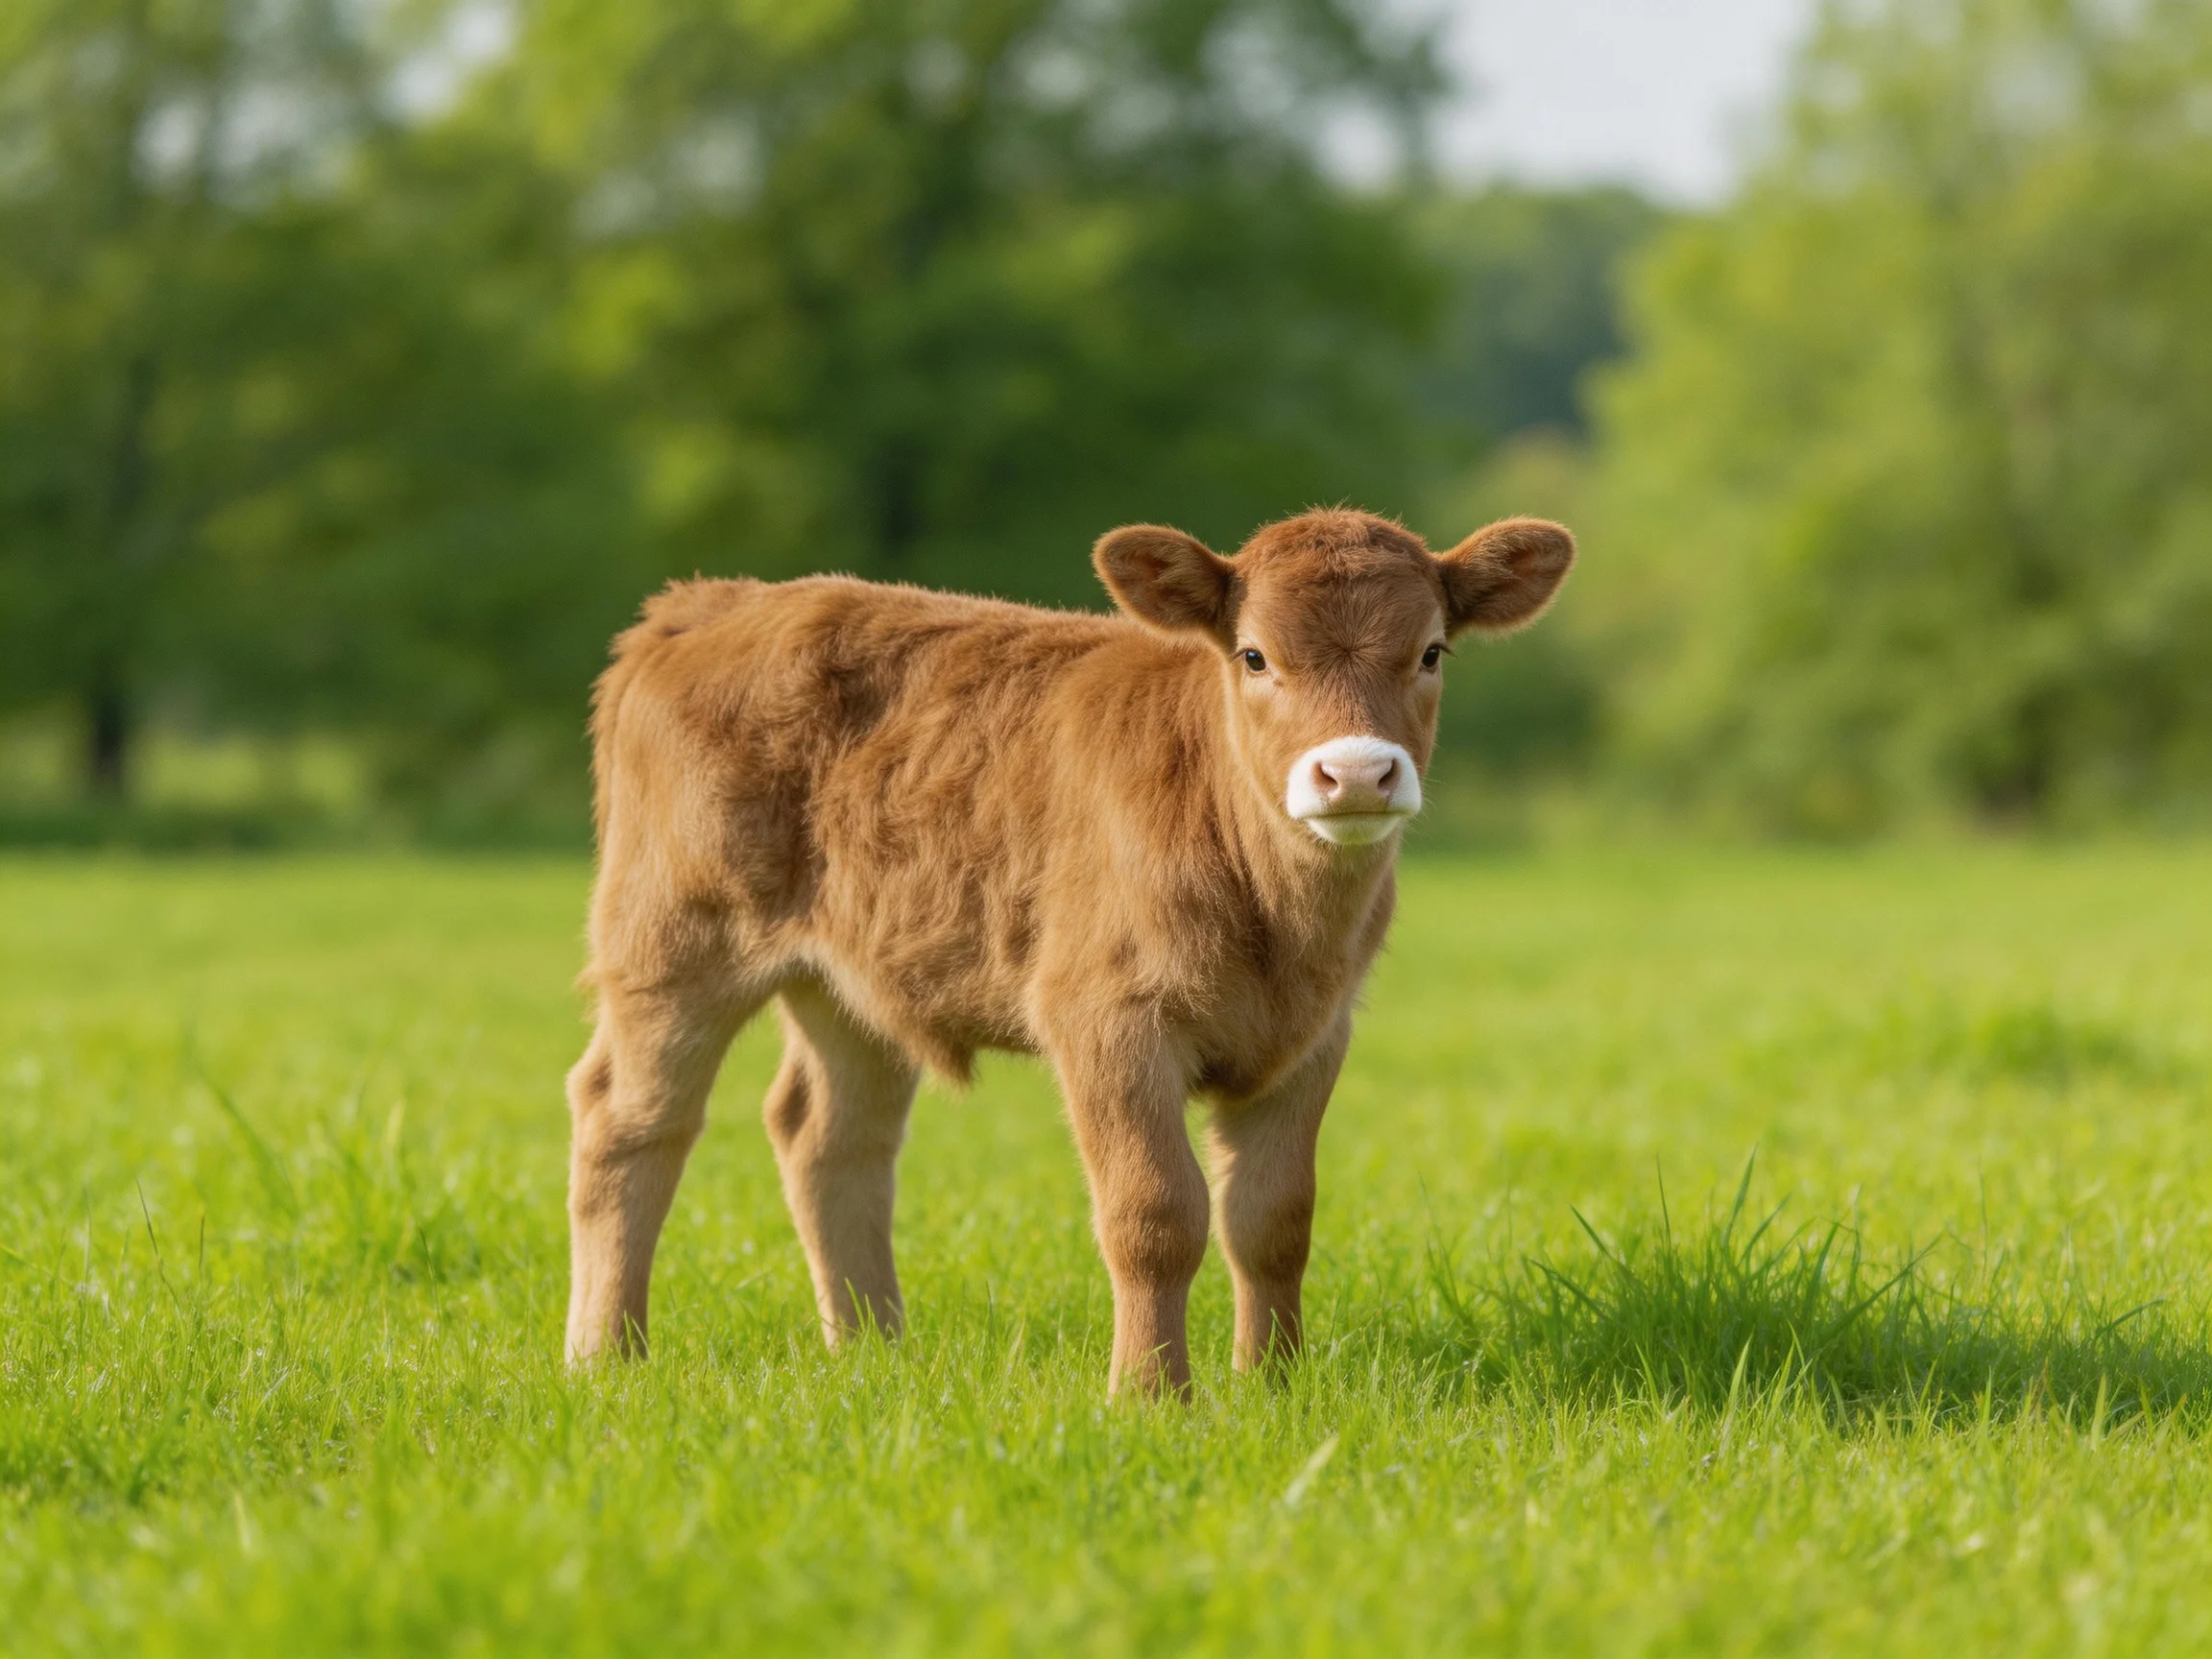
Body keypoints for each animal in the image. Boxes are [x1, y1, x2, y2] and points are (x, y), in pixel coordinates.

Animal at [564, 507, 1575, 1395]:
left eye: (1432, 651)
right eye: (1254, 654)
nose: (1358, 772)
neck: (1277, 917)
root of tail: (714, 601)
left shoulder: (1315, 1035)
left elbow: (1274, 1218)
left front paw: (1274, 1387)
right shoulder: (1106, 1019)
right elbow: (1154, 1213)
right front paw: (1151, 1394)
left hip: (852, 979)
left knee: (829, 1137)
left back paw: (872, 1351)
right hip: (670, 941)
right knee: (629, 1122)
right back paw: (606, 1357)